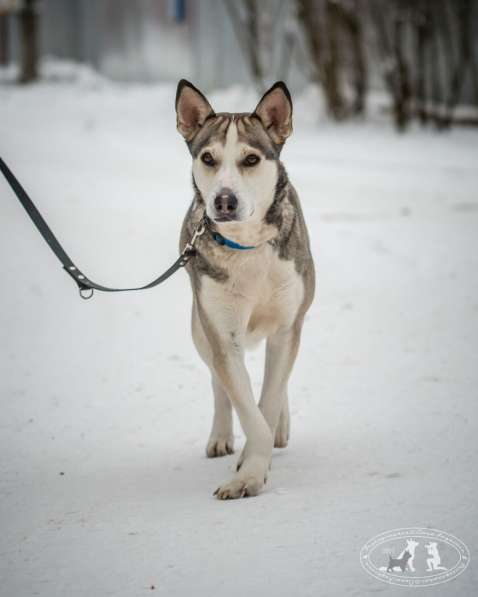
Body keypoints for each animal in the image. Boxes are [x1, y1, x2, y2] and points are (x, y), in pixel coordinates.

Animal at [175, 79, 314, 498]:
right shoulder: (221, 332)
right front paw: (249, 473)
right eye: (208, 158)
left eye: (251, 160)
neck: (247, 244)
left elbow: (268, 399)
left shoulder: (287, 323)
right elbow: (246, 406)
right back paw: (222, 435)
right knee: (218, 381)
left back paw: (281, 424)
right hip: (198, 325)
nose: (224, 200)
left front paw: (254, 465)